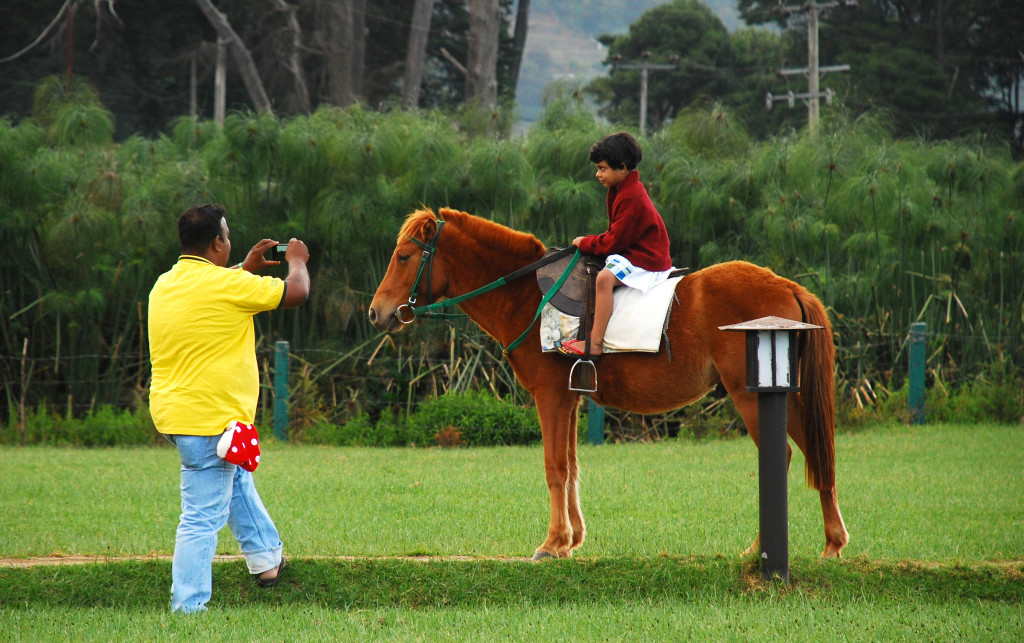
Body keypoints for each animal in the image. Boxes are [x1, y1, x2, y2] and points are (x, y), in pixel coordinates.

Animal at [368, 206, 847, 556]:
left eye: (404, 256)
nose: (377, 312)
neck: (526, 295)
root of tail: (785, 285)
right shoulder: (571, 398)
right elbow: (571, 466)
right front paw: (572, 538)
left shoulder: (550, 396)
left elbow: (555, 467)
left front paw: (553, 543)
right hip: (785, 395)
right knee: (815, 452)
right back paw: (832, 542)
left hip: (753, 395)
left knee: (784, 454)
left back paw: (764, 547)